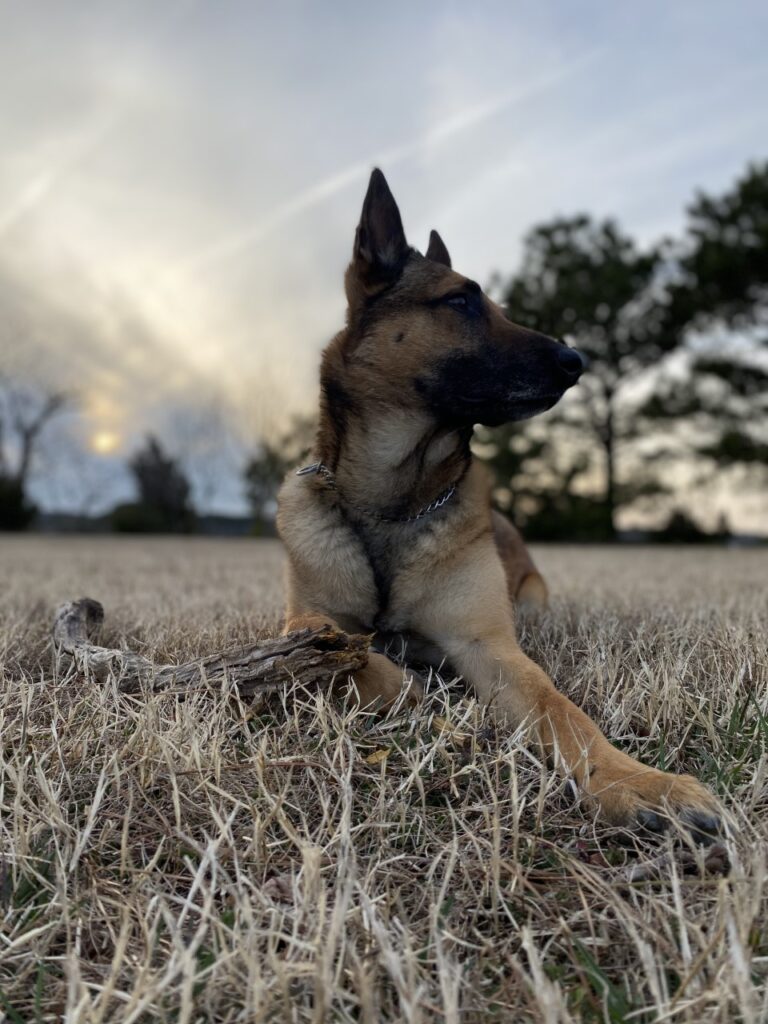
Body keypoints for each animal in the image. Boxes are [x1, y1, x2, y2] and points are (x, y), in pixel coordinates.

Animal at [277, 168, 720, 835]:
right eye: (461, 301)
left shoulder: (493, 649)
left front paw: (637, 783)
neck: (393, 506)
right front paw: (404, 683)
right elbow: (332, 642)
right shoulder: (299, 620)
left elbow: (565, 712)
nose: (576, 360)